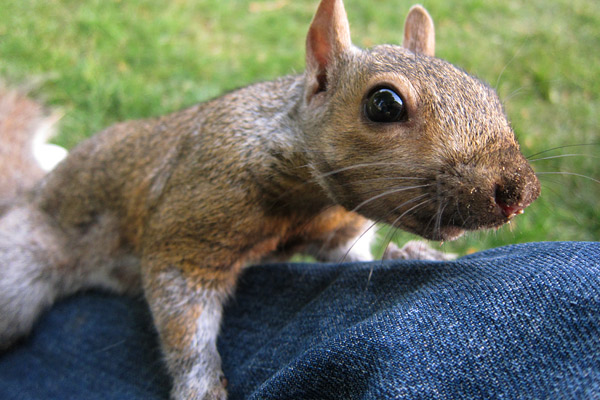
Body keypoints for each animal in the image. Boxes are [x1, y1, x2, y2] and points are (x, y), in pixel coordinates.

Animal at [0, 1, 540, 398]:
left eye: (488, 92)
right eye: (383, 104)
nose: (520, 193)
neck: (305, 200)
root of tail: (35, 193)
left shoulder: (330, 229)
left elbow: (348, 256)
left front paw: (405, 254)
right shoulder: (191, 221)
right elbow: (182, 309)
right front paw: (200, 384)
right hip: (22, 265)